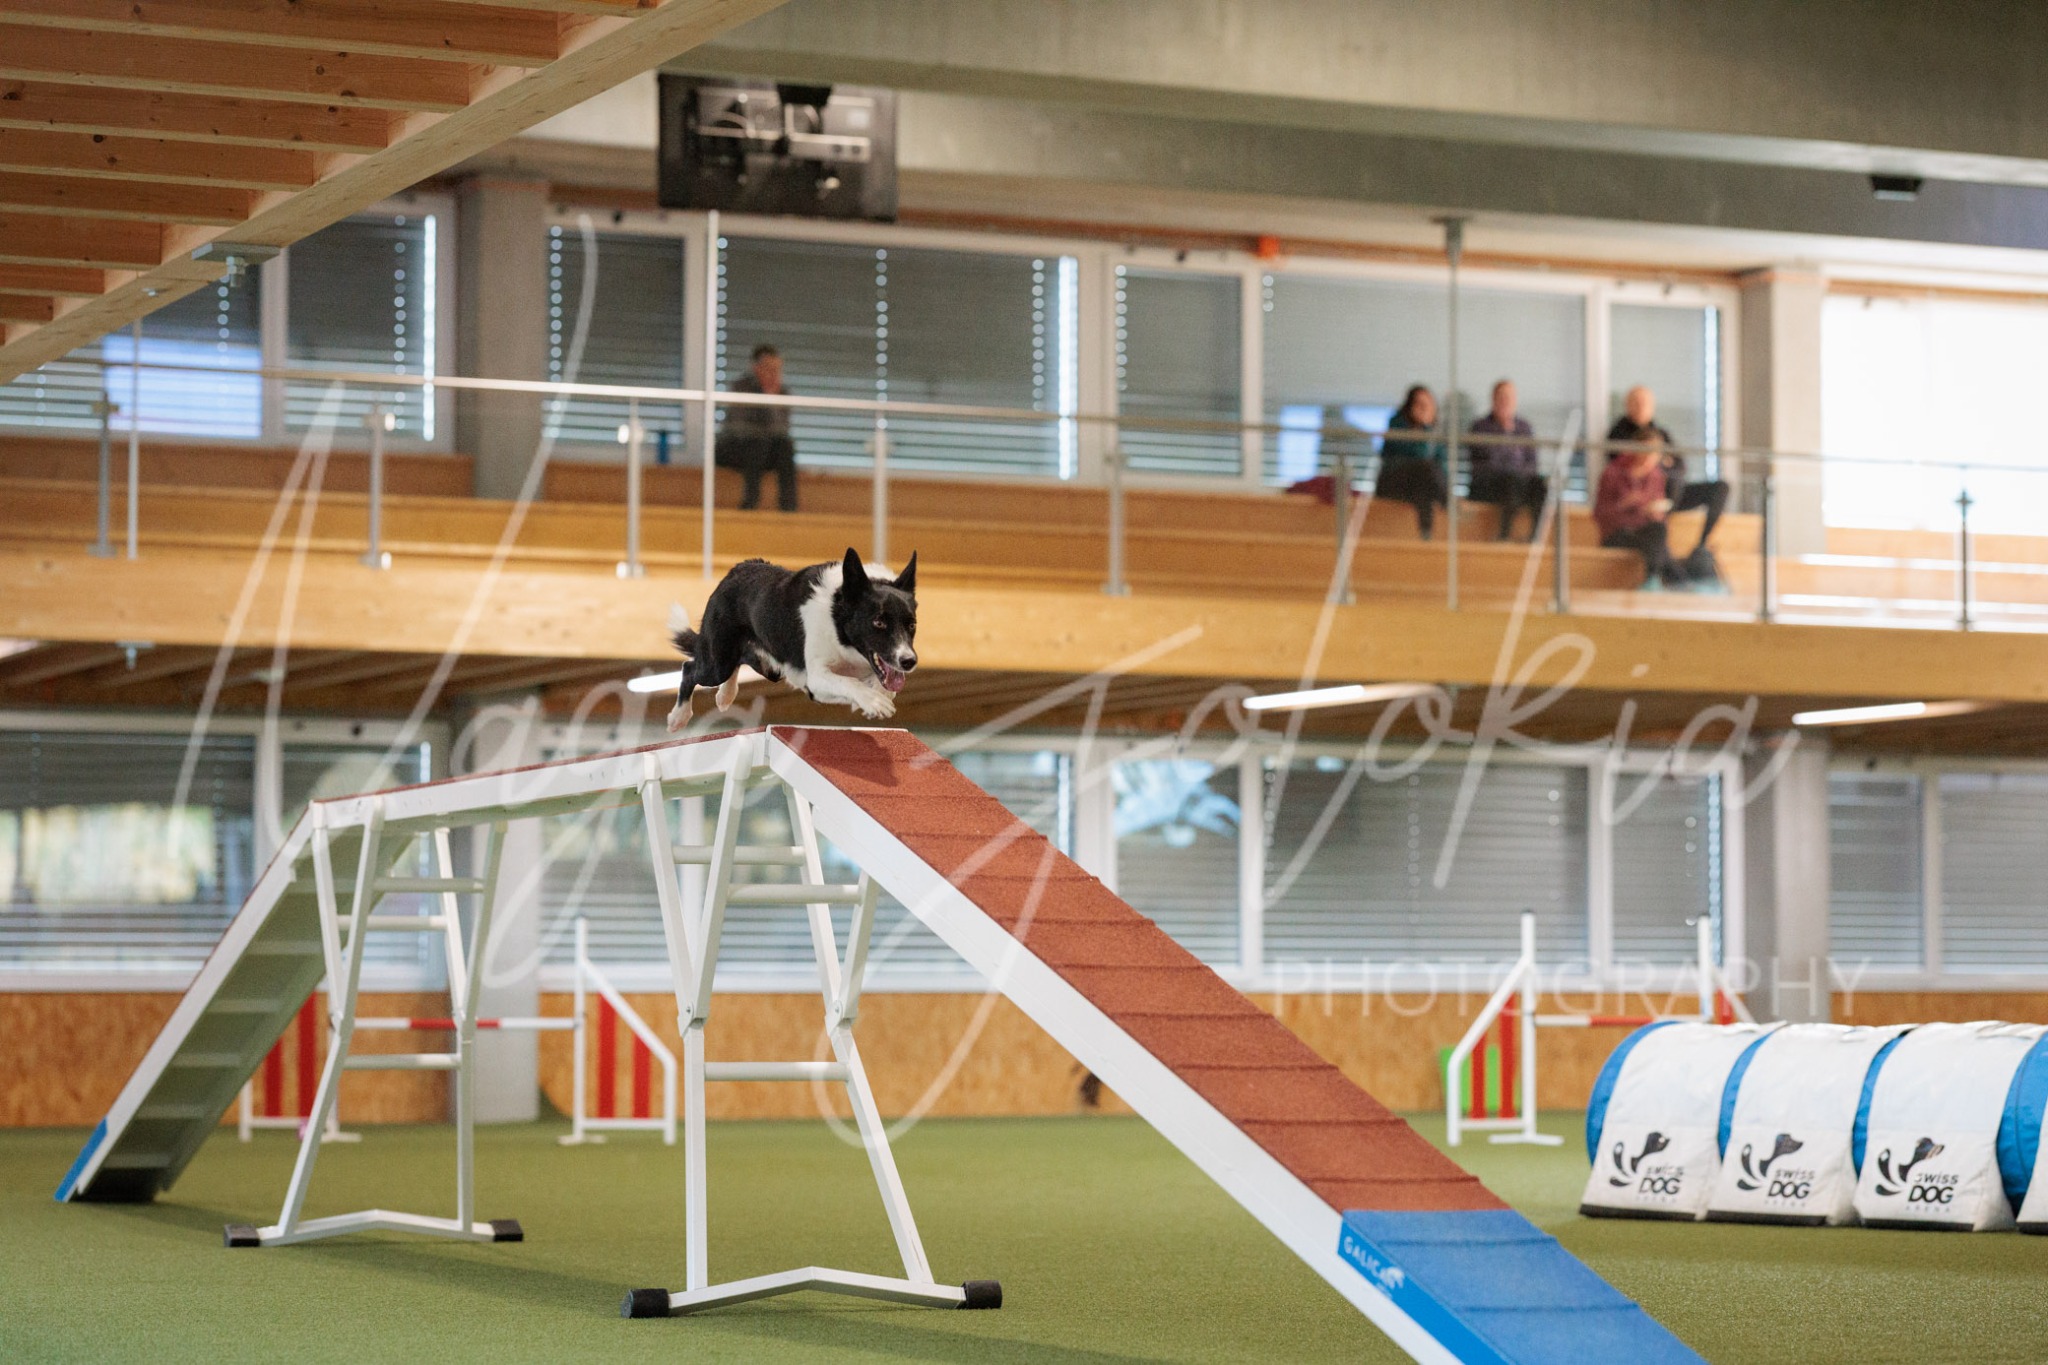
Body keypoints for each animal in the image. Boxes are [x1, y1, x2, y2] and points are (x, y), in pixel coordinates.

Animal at [667, 547, 918, 730]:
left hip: (769, 666)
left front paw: (874, 698)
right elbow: (849, 682)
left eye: (912, 624)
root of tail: (740, 567)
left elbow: (884, 687)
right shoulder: (815, 679)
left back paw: (725, 695)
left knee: (743, 659)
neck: (837, 619)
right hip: (718, 661)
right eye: (878, 622)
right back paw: (679, 716)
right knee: (690, 668)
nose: (909, 662)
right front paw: (873, 701)